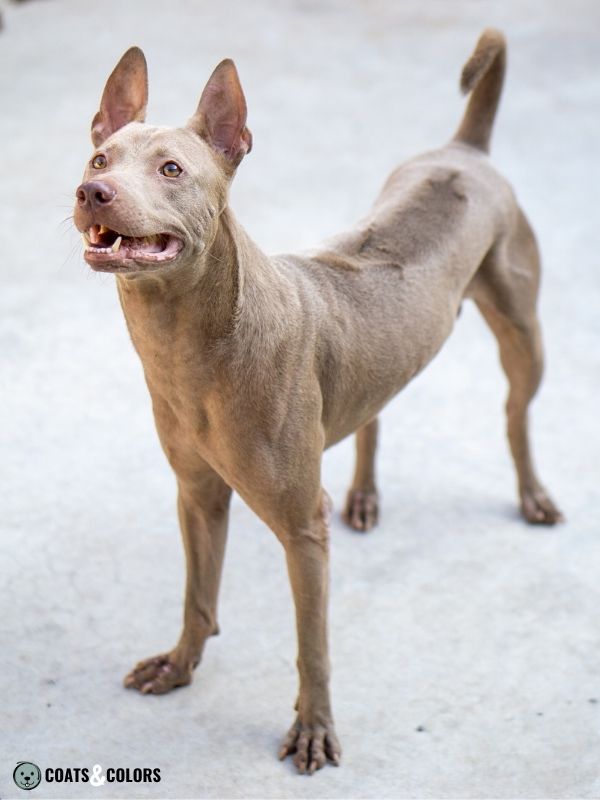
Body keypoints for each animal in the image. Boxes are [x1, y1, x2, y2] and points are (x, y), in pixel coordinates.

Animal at [74, 28, 564, 772]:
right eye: (101, 157)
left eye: (171, 170)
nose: (92, 191)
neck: (193, 347)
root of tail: (464, 150)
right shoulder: (197, 495)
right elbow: (197, 598)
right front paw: (179, 668)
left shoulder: (303, 529)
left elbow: (312, 647)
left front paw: (313, 728)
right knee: (375, 411)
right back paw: (364, 495)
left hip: (523, 334)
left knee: (515, 414)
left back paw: (532, 493)